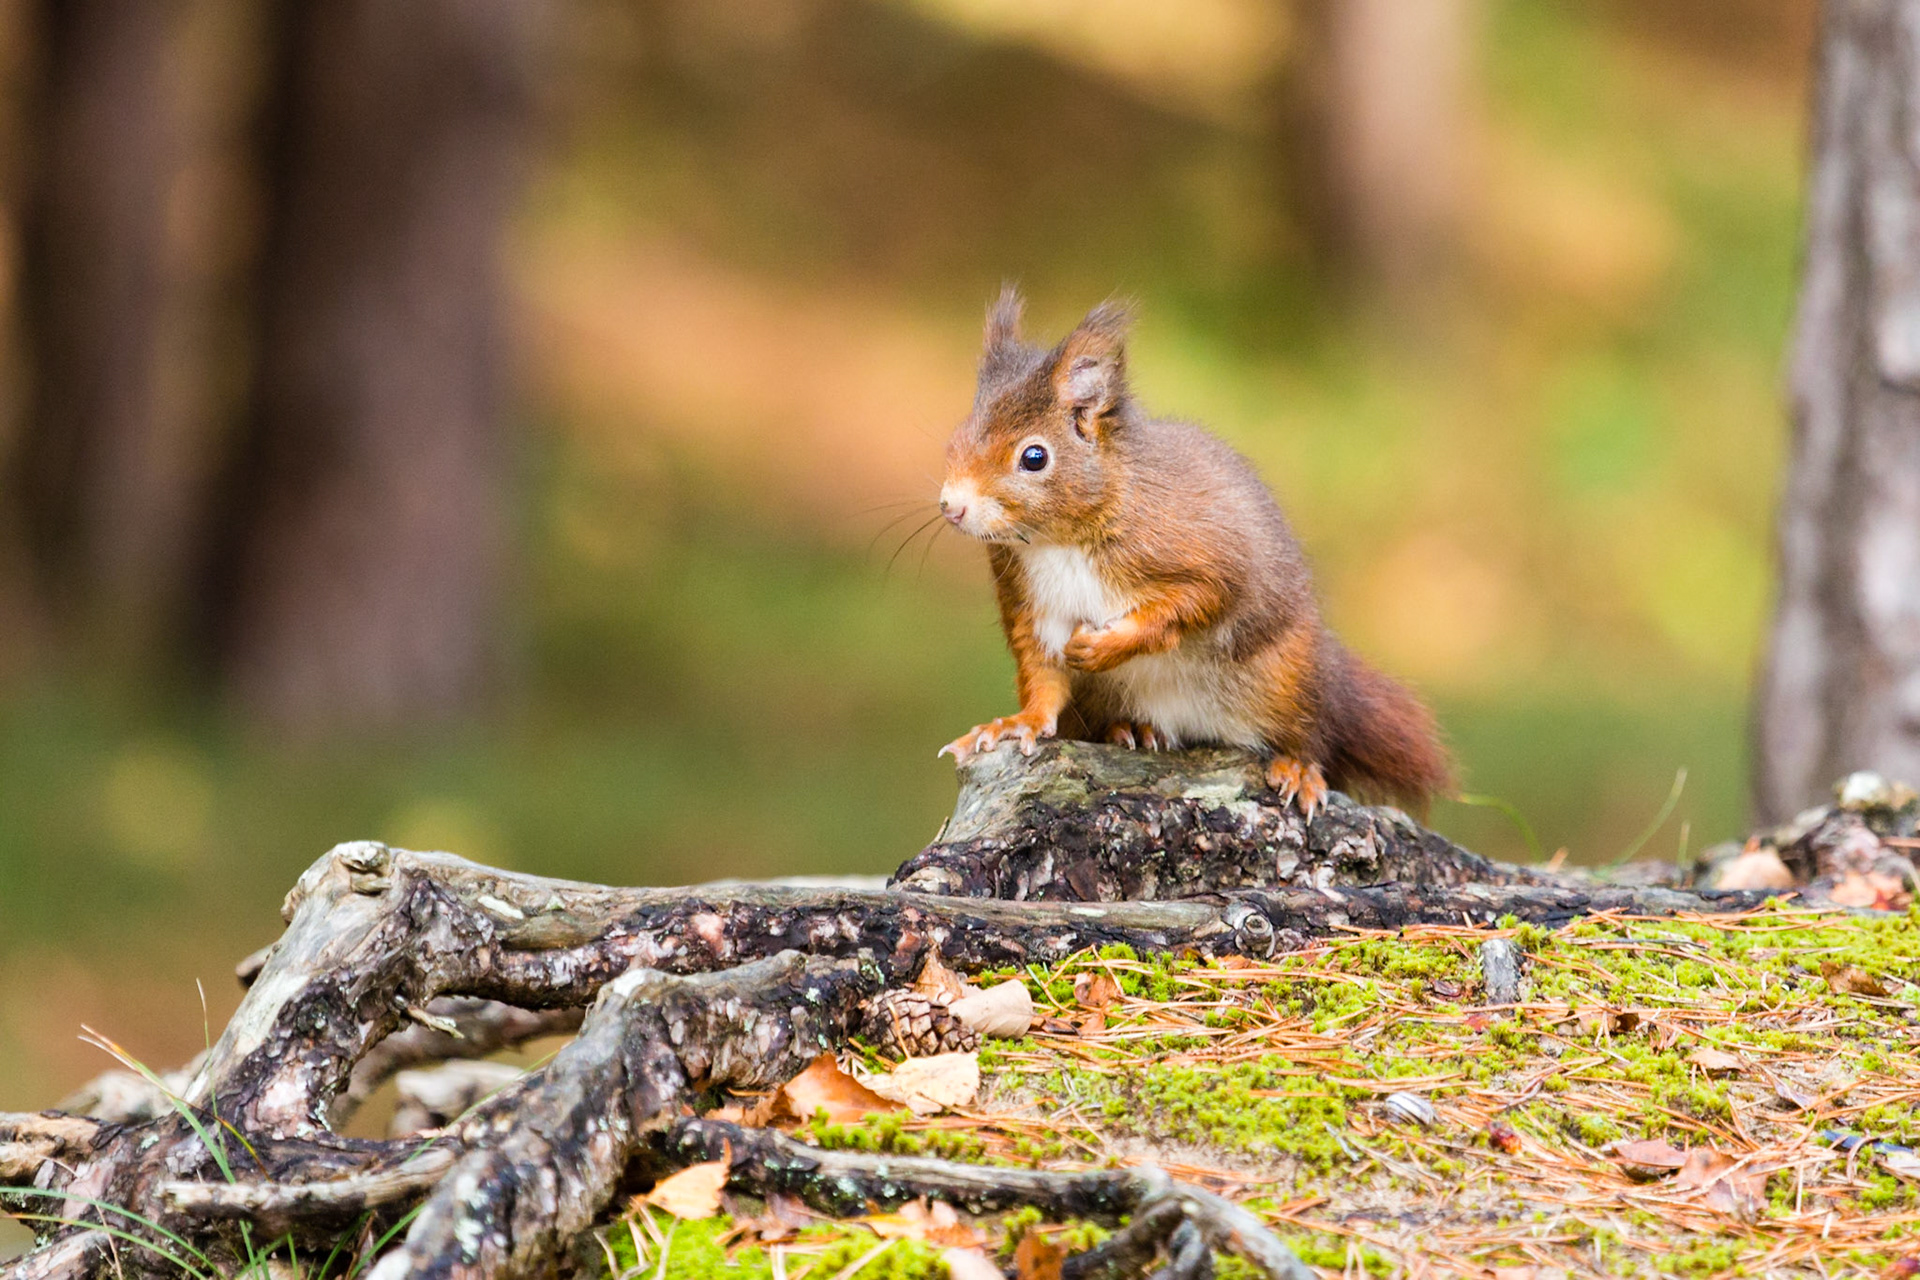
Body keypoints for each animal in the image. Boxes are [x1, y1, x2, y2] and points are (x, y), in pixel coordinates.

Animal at [935, 288, 1452, 818]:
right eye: (957, 437)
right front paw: (1016, 723)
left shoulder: (1204, 554)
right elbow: (1042, 676)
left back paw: (1299, 767)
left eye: (1034, 457)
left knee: (1313, 731)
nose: (951, 506)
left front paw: (1102, 647)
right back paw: (1133, 728)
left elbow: (1194, 603)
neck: (1059, 541)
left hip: (1289, 677)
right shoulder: (1028, 600)